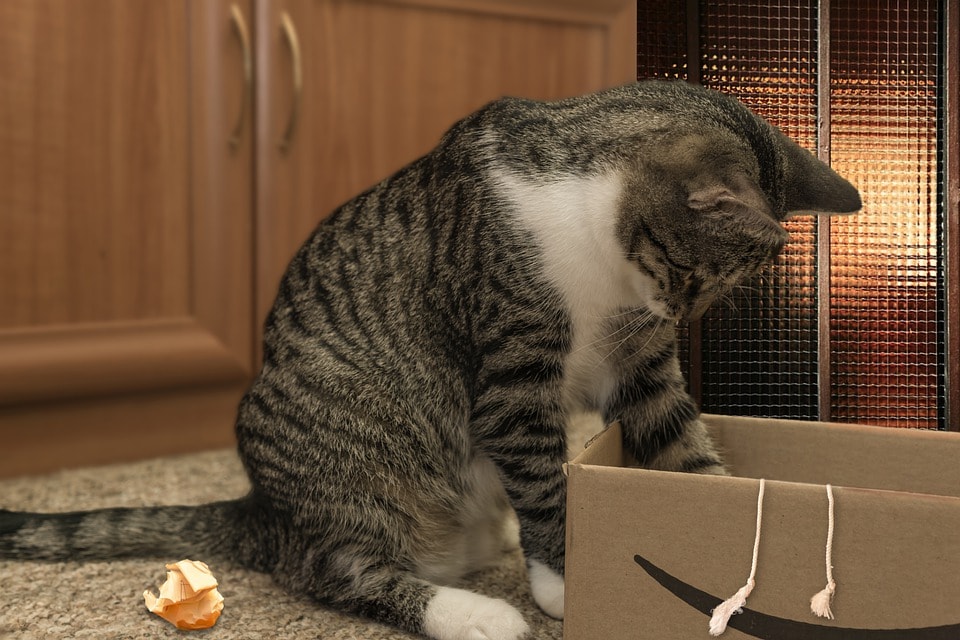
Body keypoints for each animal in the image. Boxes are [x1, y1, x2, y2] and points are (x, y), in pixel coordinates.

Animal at [1, 81, 864, 640]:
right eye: (691, 277)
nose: (673, 315)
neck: (599, 254)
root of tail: (264, 511)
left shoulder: (640, 366)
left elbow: (683, 447)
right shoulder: (513, 371)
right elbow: (546, 482)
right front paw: (564, 581)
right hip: (357, 440)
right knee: (333, 567)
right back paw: (475, 614)